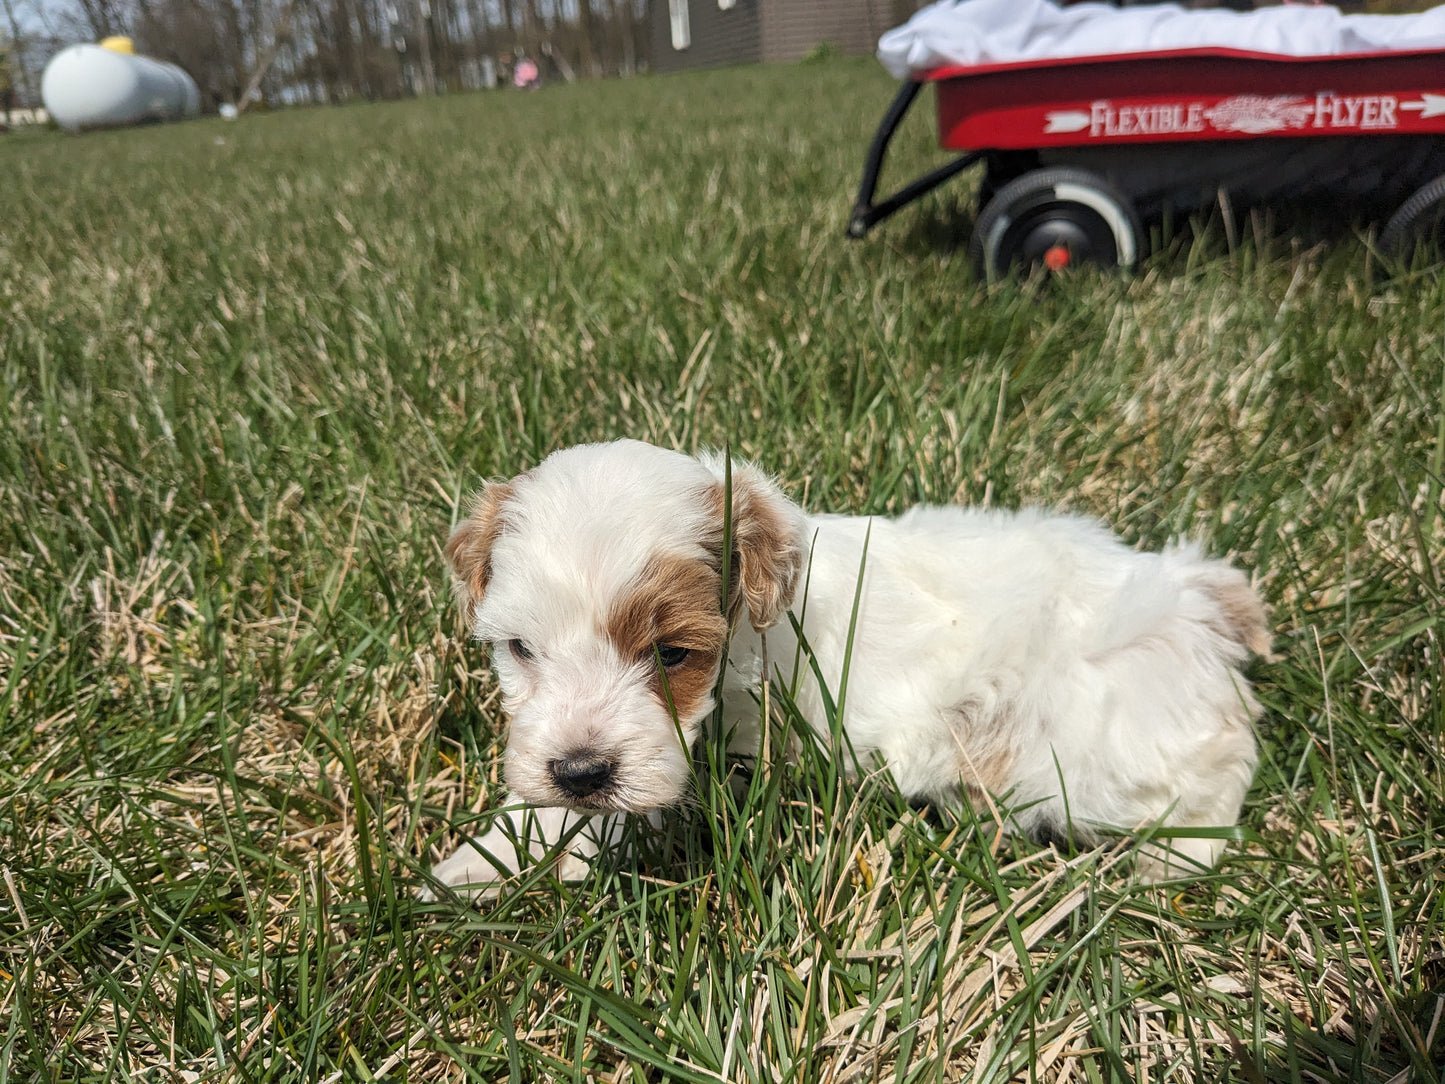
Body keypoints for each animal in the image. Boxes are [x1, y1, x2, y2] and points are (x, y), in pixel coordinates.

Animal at [427, 436, 1265, 896]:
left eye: (670, 654)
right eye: (520, 649)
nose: (578, 771)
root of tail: (1192, 592)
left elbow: (616, 812)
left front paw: (496, 862)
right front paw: (485, 856)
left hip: (1100, 747)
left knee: (1214, 770)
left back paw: (1175, 861)